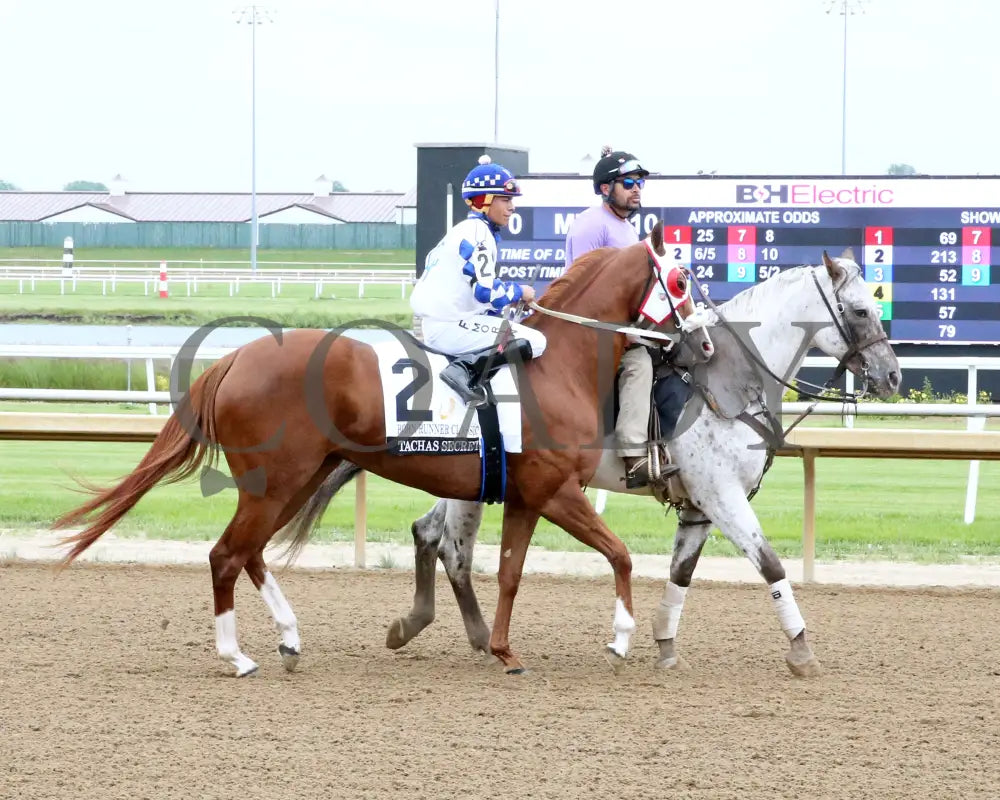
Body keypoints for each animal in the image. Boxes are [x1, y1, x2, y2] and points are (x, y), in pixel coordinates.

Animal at [56, 219, 712, 676]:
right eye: (683, 280)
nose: (704, 343)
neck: (556, 365)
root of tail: (236, 357)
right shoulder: (555, 491)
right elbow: (620, 554)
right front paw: (621, 638)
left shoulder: (527, 496)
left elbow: (510, 573)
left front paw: (503, 650)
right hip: (276, 481)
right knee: (225, 555)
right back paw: (237, 657)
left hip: (291, 481)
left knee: (249, 553)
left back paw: (289, 637)